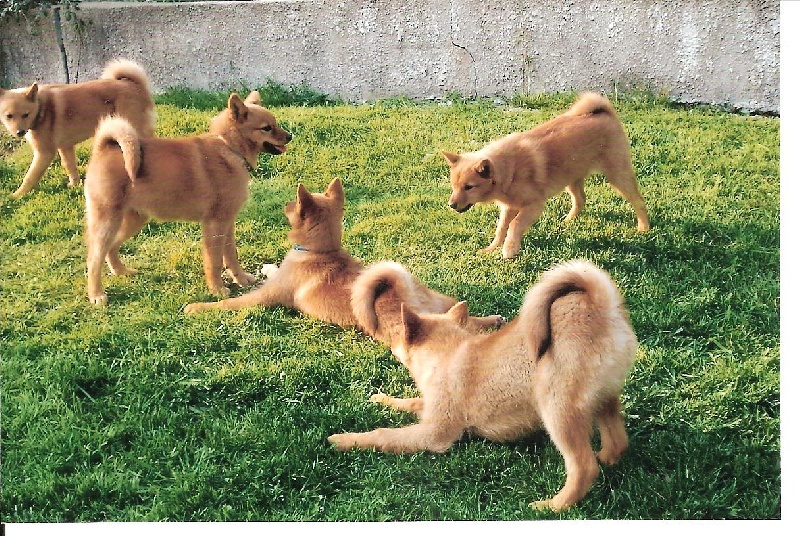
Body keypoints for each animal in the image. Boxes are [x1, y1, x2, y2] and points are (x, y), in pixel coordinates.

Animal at [0, 59, 156, 197]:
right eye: (9, 116)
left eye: (25, 115)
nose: (19, 132)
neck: (41, 108)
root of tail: (135, 85)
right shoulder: (65, 147)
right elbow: (70, 166)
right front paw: (74, 184)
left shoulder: (44, 153)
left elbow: (30, 176)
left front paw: (16, 195)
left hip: (133, 128)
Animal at [84, 90, 292, 305]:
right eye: (267, 128)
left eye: (275, 124)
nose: (290, 136)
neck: (228, 147)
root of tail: (104, 147)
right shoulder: (215, 225)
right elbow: (214, 261)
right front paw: (217, 289)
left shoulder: (227, 224)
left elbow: (231, 256)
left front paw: (241, 279)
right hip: (108, 221)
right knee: (94, 259)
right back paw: (96, 294)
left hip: (133, 220)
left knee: (111, 248)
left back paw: (121, 271)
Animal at [184, 178, 504, 344]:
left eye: (294, 204)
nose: (285, 203)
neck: (320, 251)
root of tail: (408, 294)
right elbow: (271, 270)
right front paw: (266, 267)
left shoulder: (262, 298)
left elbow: (227, 303)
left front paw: (197, 307)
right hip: (441, 301)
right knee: (464, 316)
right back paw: (494, 320)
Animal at [328, 259, 637, 512]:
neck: (447, 352)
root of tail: (601, 305)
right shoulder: (430, 411)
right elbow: (410, 402)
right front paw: (382, 399)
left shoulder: (434, 434)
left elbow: (383, 435)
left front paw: (344, 440)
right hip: (604, 399)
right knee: (617, 443)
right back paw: (605, 458)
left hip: (557, 411)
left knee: (584, 468)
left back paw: (552, 506)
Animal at [442, 92, 650, 259]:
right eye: (454, 187)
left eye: (469, 187)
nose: (451, 205)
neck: (508, 170)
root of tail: (604, 111)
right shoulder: (509, 207)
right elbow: (501, 228)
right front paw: (492, 248)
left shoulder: (533, 205)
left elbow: (515, 225)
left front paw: (509, 250)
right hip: (571, 177)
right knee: (581, 200)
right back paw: (568, 221)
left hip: (618, 175)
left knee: (638, 201)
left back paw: (644, 229)